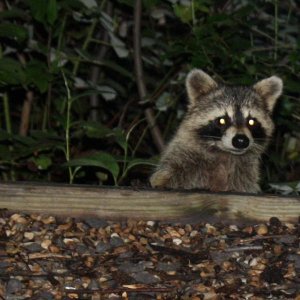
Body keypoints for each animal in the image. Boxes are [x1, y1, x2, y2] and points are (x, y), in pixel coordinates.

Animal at [151, 68, 282, 192]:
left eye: (251, 122)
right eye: (222, 120)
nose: (241, 141)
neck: (224, 154)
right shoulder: (182, 158)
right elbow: (167, 173)